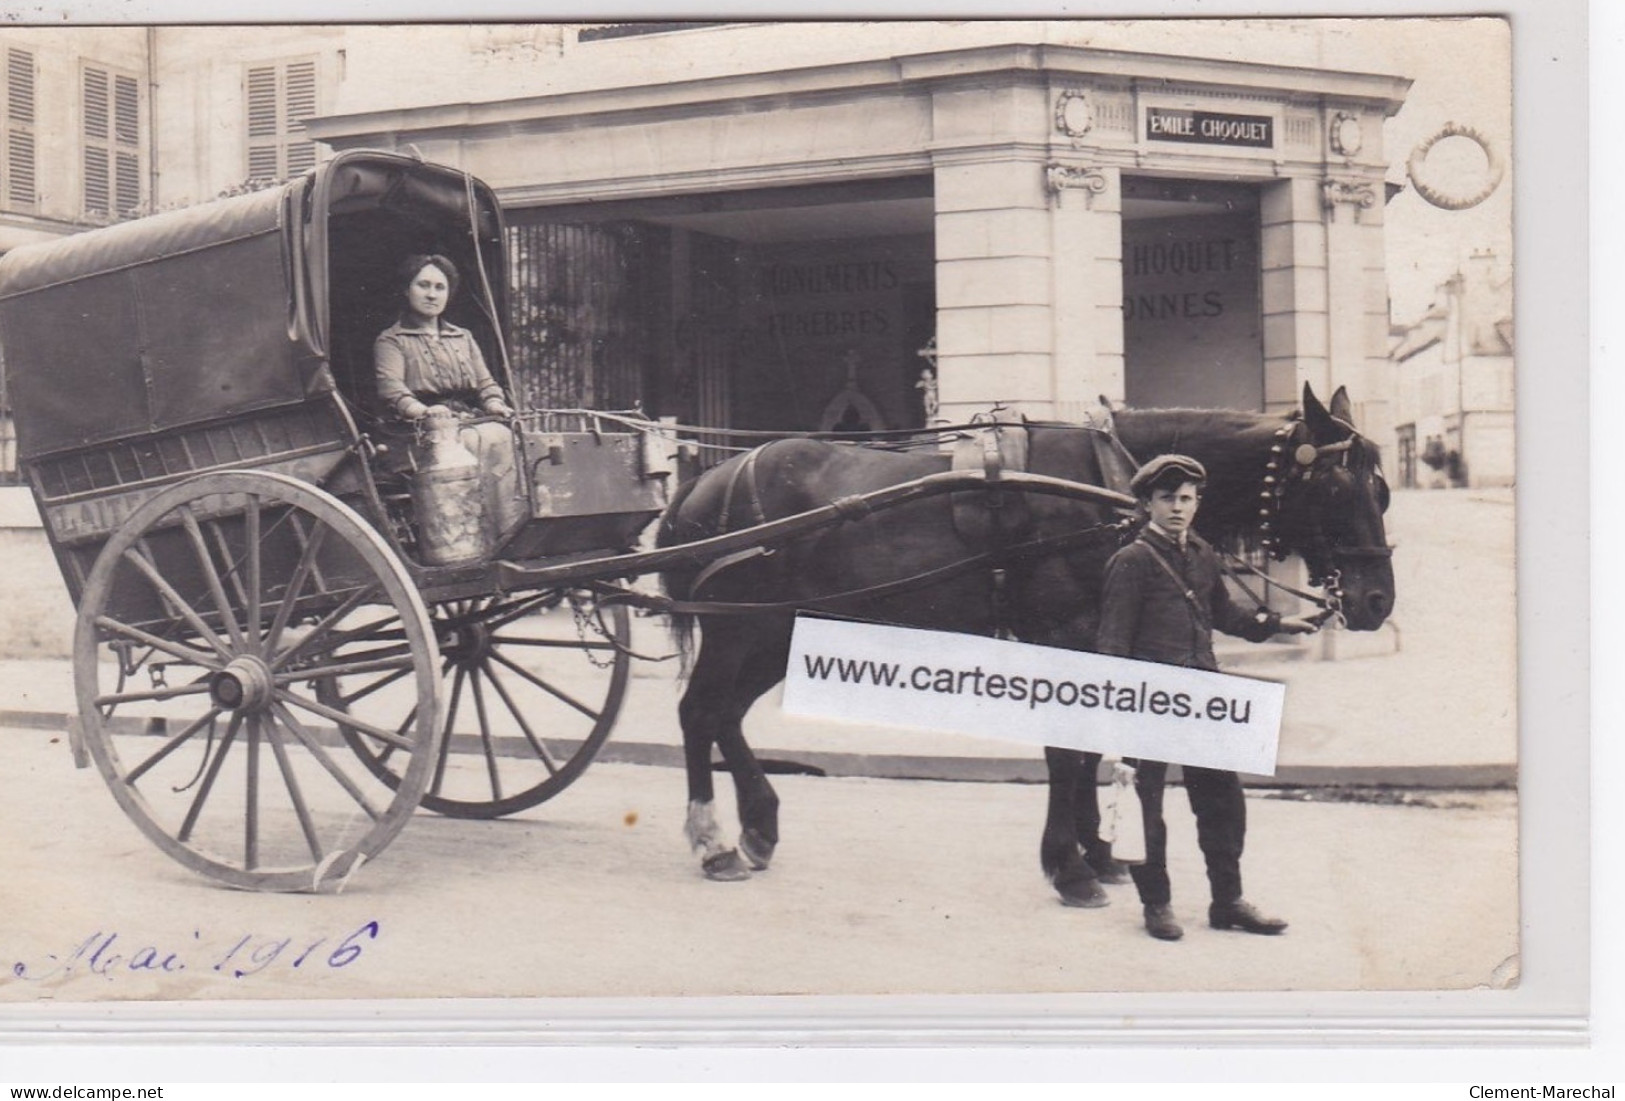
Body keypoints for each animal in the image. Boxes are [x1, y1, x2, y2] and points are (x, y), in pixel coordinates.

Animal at [653, 383, 1391, 889]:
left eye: (1381, 490)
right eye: (1336, 487)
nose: (1376, 600)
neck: (1114, 484)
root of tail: (701, 485)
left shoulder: (1096, 634)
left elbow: (1088, 743)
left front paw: (1095, 850)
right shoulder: (1062, 631)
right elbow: (1066, 748)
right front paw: (1070, 865)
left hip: (775, 629)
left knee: (724, 715)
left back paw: (757, 823)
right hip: (739, 626)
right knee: (699, 712)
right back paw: (713, 840)